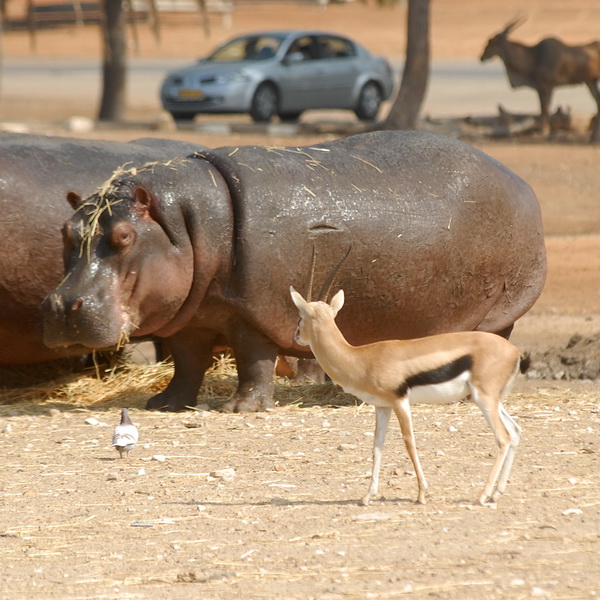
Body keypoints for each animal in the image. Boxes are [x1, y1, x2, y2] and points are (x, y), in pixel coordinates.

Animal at [290, 282, 528, 506]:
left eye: (301, 317)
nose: (297, 336)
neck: (361, 359)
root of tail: (515, 352)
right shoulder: (382, 407)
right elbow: (377, 445)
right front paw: (367, 496)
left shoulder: (400, 402)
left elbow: (409, 442)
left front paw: (422, 494)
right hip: (493, 401)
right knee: (515, 431)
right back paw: (497, 493)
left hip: (484, 400)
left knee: (503, 438)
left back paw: (483, 495)